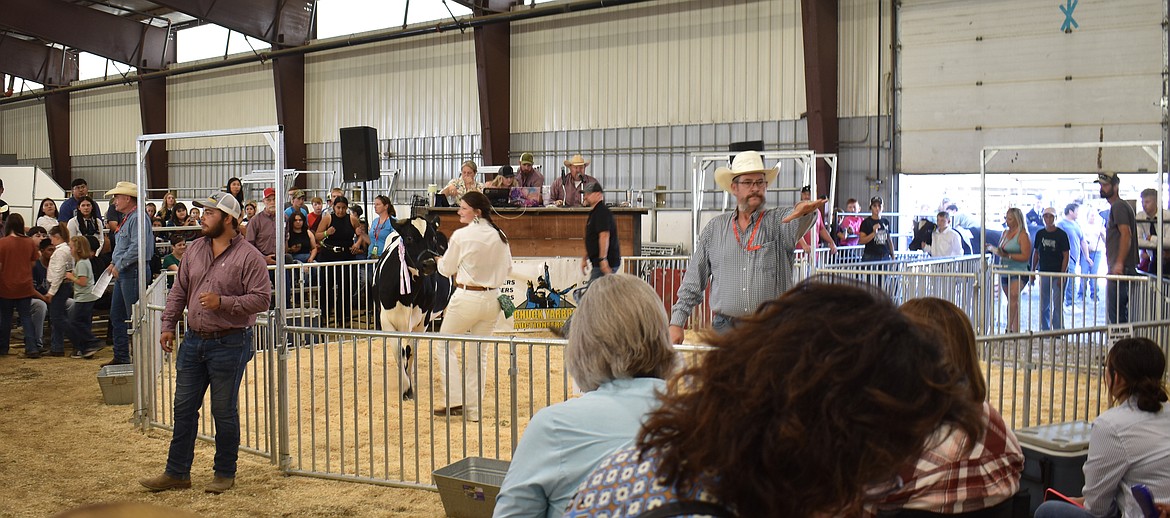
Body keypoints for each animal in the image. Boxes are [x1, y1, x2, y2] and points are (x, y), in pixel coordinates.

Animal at [372, 215, 449, 402]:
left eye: (433, 238)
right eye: (409, 238)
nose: (429, 263)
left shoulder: (423, 321)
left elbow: (411, 351)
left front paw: (409, 387)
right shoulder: (387, 321)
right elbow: (399, 354)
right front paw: (406, 387)